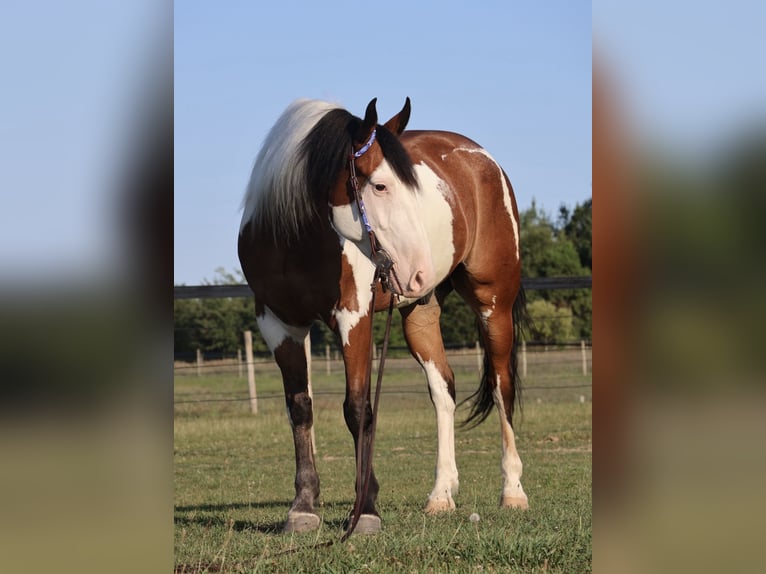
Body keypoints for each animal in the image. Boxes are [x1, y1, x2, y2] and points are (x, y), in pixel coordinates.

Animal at [238, 97, 528, 534]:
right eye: (379, 185)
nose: (419, 269)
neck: (295, 239)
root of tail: (483, 159)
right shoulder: (278, 323)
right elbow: (300, 408)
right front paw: (303, 507)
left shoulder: (352, 316)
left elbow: (358, 408)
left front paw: (366, 509)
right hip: (419, 314)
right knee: (443, 391)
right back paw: (441, 494)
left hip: (494, 303)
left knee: (501, 387)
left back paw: (512, 491)